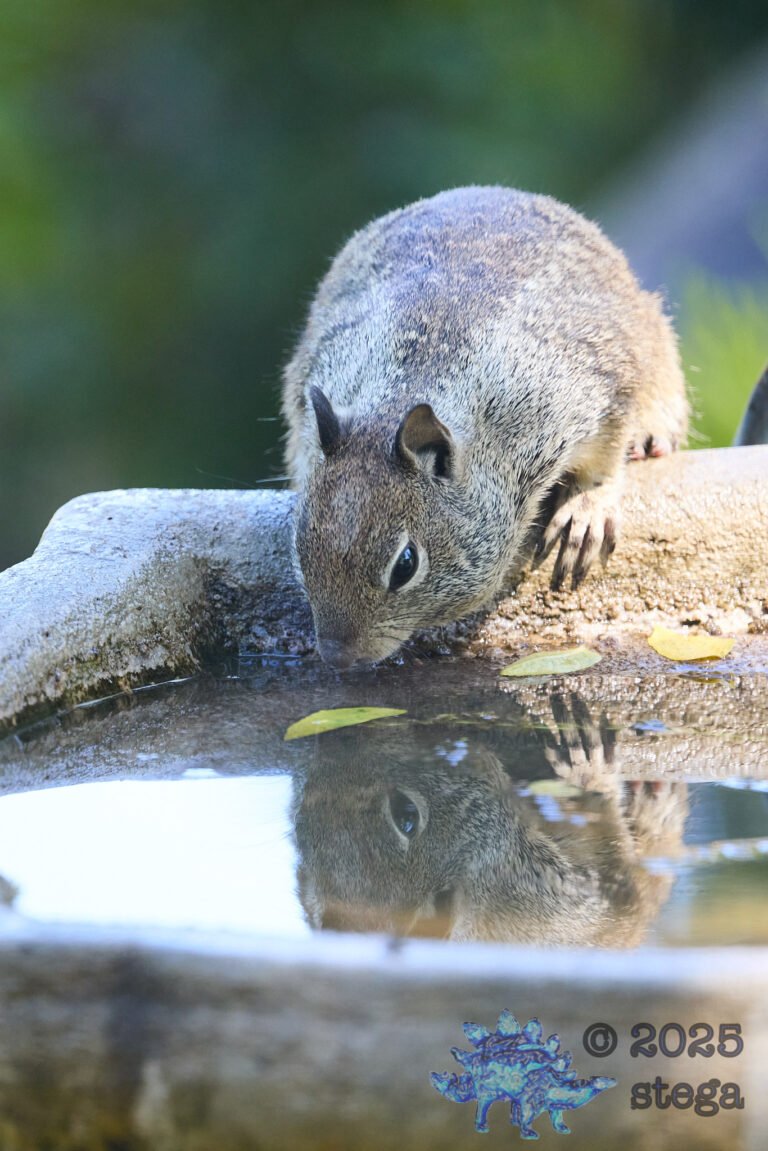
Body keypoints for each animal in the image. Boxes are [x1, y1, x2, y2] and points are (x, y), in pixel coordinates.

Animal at [282, 186, 689, 667]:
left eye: (406, 564)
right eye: (302, 545)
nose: (335, 655)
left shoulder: (602, 396)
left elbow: (603, 466)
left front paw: (586, 509)